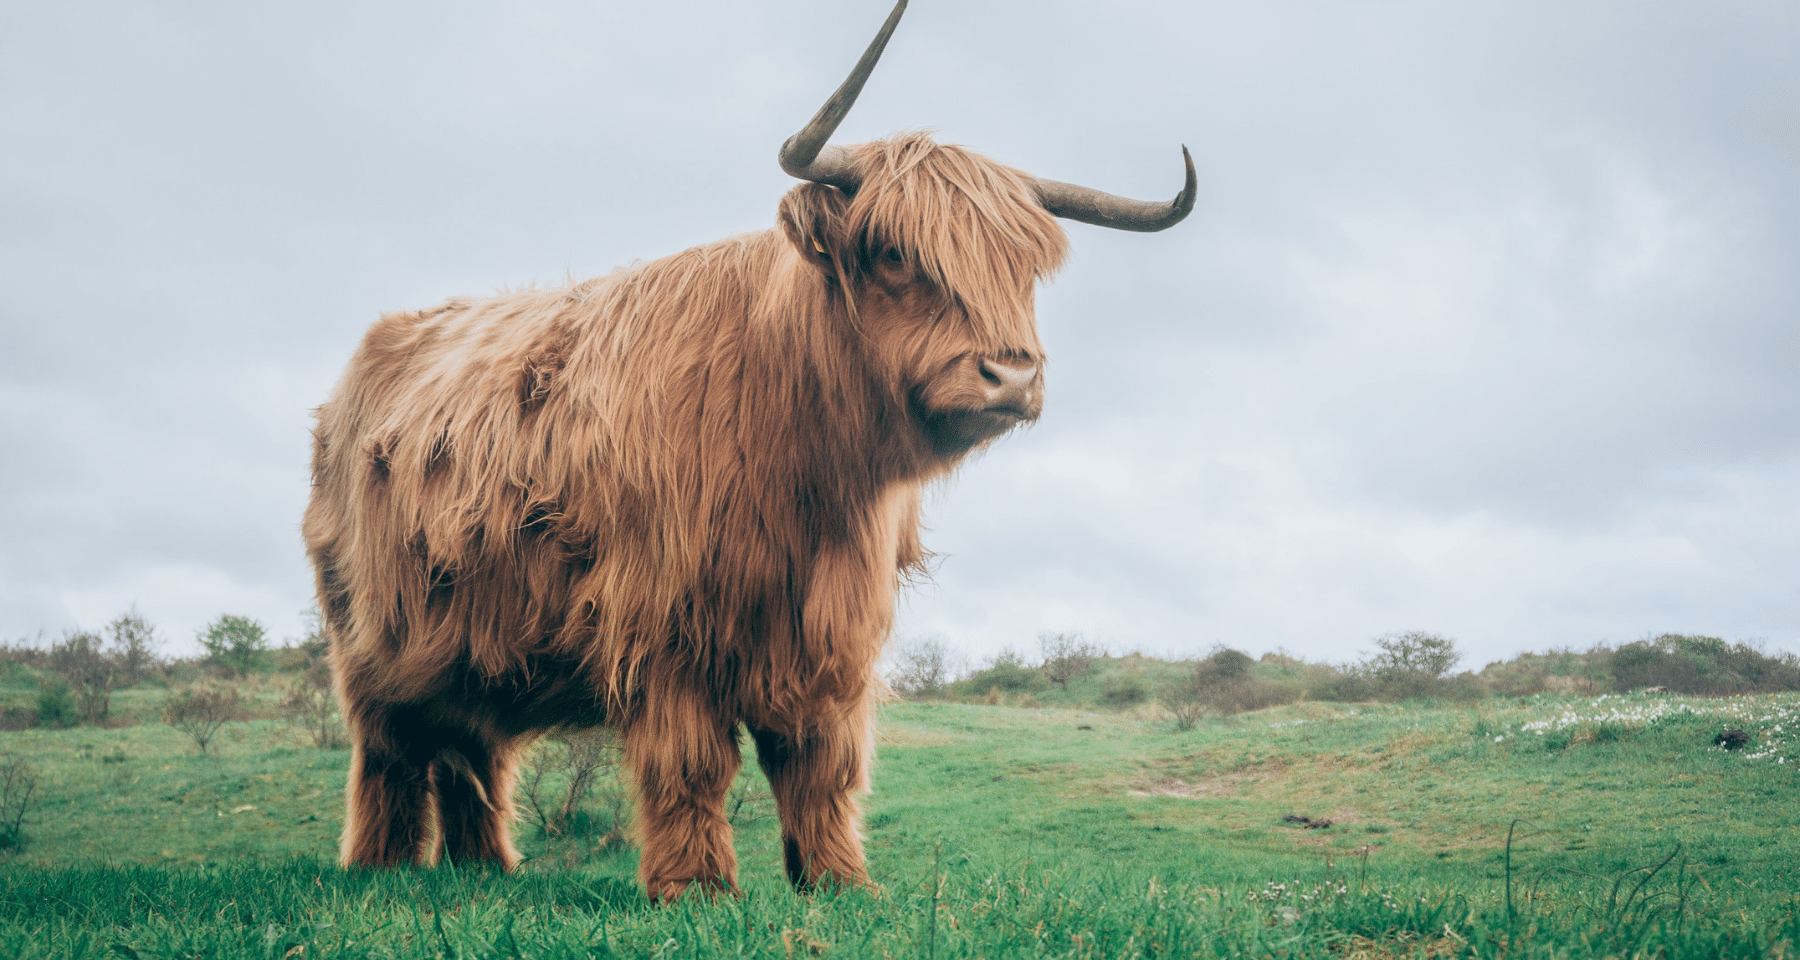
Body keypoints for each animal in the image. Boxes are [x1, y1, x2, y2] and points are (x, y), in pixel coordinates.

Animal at [302, 0, 1193, 901]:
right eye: (895, 252)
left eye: (1024, 269)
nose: (1012, 375)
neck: (808, 473)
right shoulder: (664, 622)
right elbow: (692, 763)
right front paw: (697, 888)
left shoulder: (831, 633)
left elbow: (821, 764)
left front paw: (838, 882)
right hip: (371, 639)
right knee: (390, 753)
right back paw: (380, 869)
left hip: (469, 641)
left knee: (471, 750)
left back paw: (485, 870)